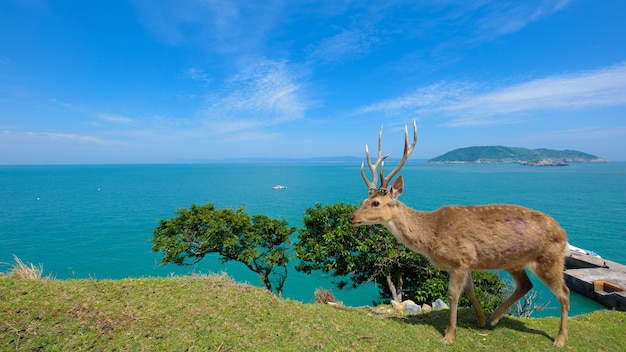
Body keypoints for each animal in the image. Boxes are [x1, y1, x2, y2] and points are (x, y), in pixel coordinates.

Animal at [346, 121, 572, 346]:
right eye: (364, 200)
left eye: (376, 203)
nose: (351, 217)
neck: (431, 237)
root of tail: (564, 234)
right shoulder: (467, 261)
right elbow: (469, 289)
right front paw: (481, 320)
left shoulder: (459, 259)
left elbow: (453, 294)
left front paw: (449, 335)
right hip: (515, 262)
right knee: (526, 285)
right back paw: (494, 318)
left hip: (550, 259)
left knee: (564, 293)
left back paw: (560, 339)